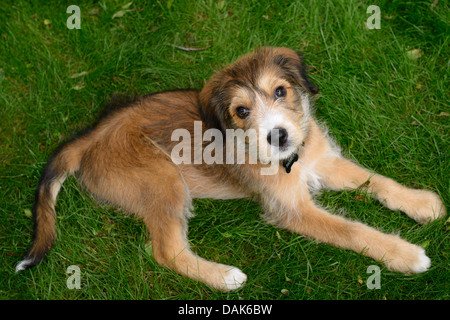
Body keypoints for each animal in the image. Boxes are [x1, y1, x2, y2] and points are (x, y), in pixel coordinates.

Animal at [15, 47, 444, 290]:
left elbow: (377, 180)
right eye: (241, 111)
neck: (293, 160)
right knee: (166, 252)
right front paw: (405, 254)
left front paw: (422, 202)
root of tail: (91, 134)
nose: (279, 136)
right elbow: (353, 230)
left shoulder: (323, 161)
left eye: (281, 91)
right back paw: (224, 277)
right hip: (163, 178)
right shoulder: (292, 209)